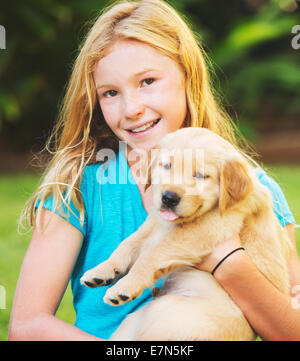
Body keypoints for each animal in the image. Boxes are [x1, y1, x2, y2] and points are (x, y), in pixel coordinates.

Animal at [81, 127, 292, 340]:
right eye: (167, 166)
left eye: (200, 175)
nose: (168, 198)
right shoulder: (156, 220)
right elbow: (129, 243)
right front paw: (103, 270)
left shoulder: (209, 226)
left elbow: (153, 253)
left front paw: (124, 286)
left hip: (165, 311)